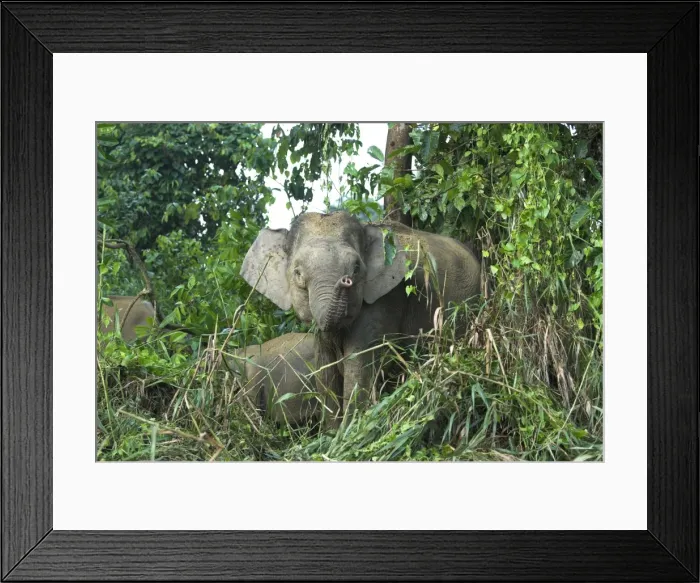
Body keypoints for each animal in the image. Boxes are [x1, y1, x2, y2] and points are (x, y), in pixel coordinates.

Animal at [241, 211, 482, 426]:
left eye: (356, 269)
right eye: (298, 273)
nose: (345, 280)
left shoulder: (386, 297)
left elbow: (359, 361)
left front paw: (346, 434)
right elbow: (324, 365)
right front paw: (331, 436)